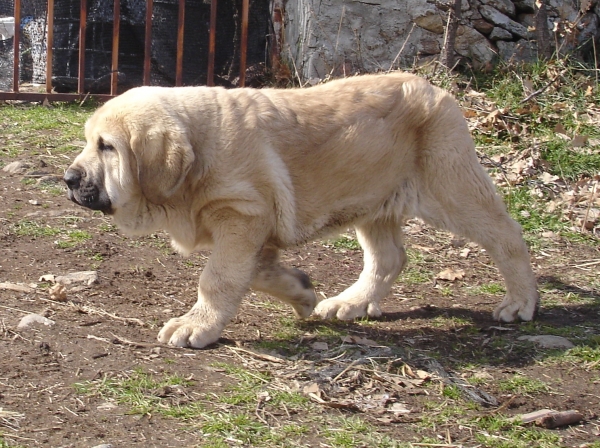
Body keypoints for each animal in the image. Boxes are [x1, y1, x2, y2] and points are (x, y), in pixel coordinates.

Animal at [64, 72, 540, 350]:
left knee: (506, 235)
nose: (68, 179)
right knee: (388, 258)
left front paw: (197, 324)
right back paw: (350, 302)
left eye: (107, 146)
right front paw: (301, 291)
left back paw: (520, 301)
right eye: (91, 142)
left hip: (450, 186)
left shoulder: (242, 216)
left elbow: (218, 278)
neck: (199, 154)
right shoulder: (255, 227)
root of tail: (436, 88)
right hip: (373, 201)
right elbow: (256, 273)